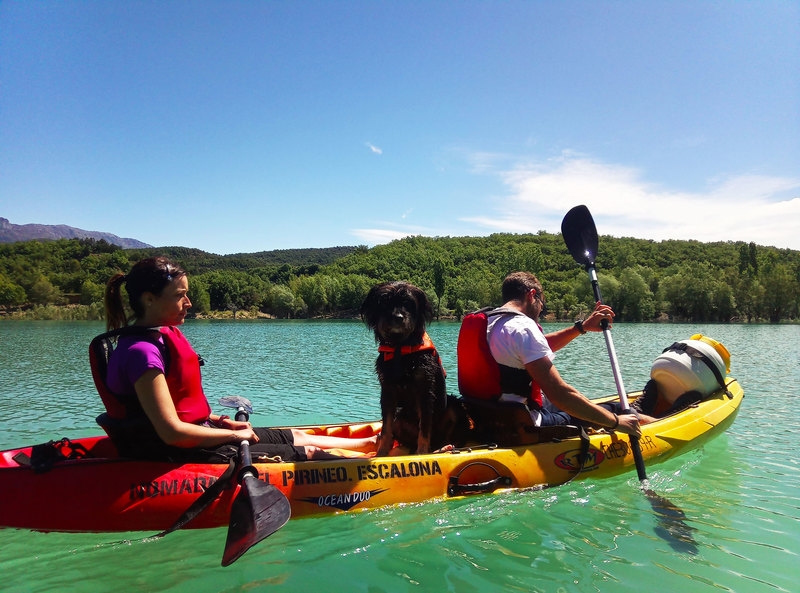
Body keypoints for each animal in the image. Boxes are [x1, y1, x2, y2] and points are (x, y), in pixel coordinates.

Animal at [360, 280, 466, 454]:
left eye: (408, 303)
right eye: (385, 302)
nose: (398, 317)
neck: (400, 347)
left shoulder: (425, 389)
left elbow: (424, 427)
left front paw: (422, 453)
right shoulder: (387, 390)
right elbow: (386, 428)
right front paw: (381, 453)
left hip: (454, 406)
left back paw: (444, 448)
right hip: (399, 416)